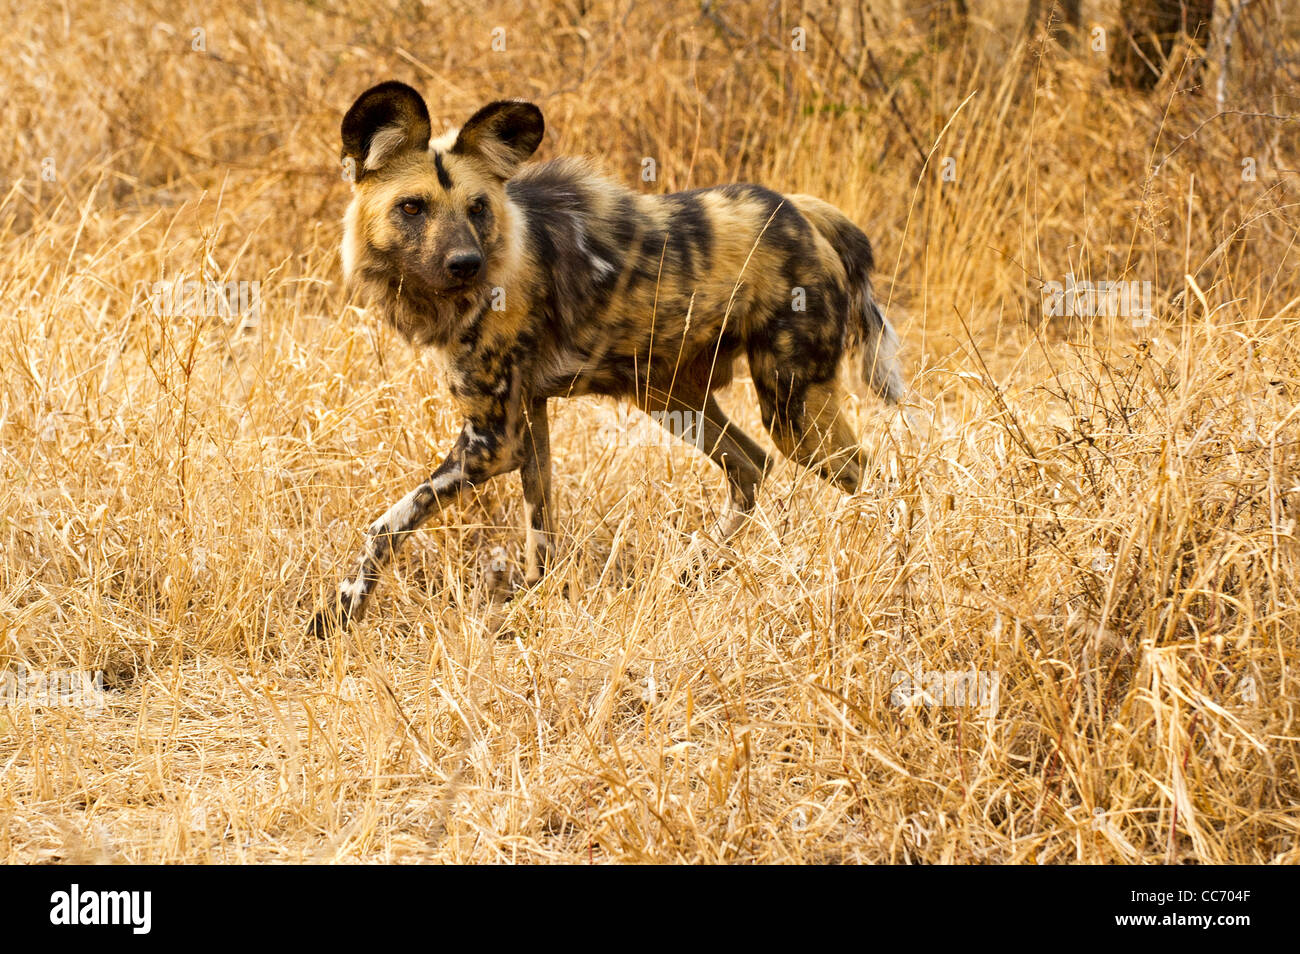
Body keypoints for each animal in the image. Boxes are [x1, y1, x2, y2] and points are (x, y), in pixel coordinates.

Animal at [313, 82, 904, 634]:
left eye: (477, 208)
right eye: (412, 207)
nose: (466, 263)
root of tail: (804, 212)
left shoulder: (491, 444)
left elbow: (388, 522)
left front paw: (340, 611)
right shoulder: (527, 422)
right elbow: (541, 532)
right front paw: (536, 608)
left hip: (794, 414)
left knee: (877, 477)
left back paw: (887, 561)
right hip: (673, 400)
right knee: (751, 465)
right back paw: (693, 569)